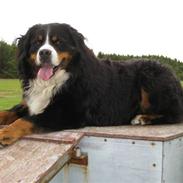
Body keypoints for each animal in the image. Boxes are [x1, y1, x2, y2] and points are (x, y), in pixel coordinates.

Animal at [0, 22, 183, 146]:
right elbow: (8, 112)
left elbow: (26, 120)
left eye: (58, 42)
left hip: (151, 78)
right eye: (37, 42)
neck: (55, 82)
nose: (44, 52)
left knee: (174, 114)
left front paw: (5, 132)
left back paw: (142, 118)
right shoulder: (31, 103)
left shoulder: (66, 112)